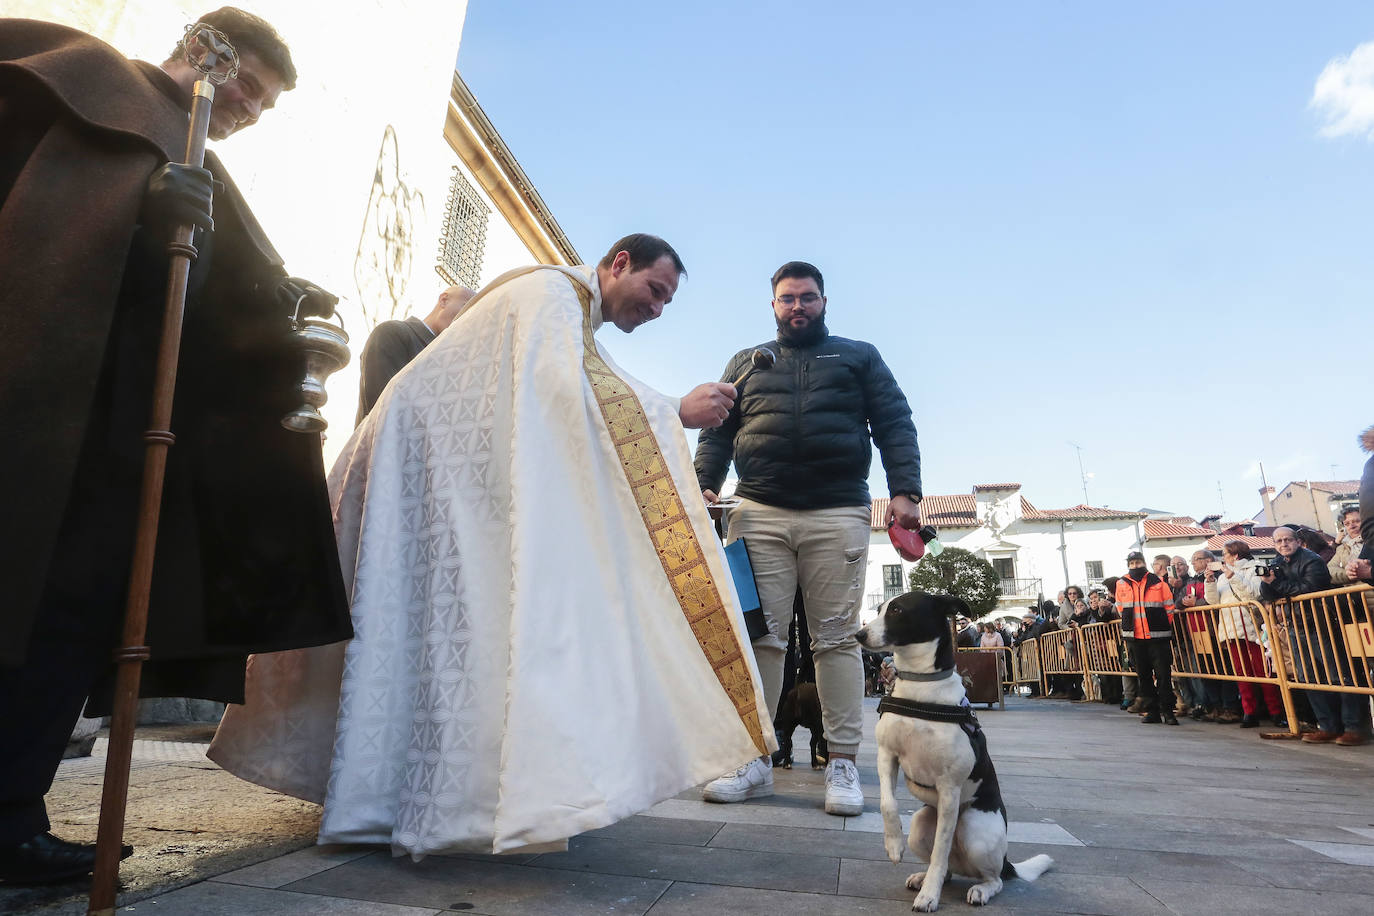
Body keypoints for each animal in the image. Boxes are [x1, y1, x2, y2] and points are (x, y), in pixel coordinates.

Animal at [857, 590, 1049, 911]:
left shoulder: (949, 788)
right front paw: (893, 845)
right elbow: (887, 804)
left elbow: (941, 849)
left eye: (897, 610)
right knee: (947, 866)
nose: (858, 634)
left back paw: (980, 889)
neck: (921, 689)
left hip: (975, 829)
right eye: (880, 608)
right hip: (921, 825)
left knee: (991, 876)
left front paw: (929, 897)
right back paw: (924, 877)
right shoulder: (887, 755)